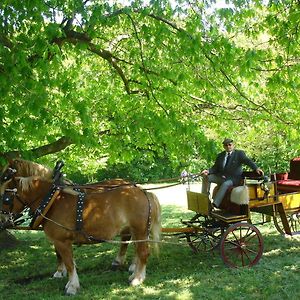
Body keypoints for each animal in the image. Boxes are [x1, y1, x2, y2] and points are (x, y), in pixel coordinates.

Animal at [0, 175, 162, 294]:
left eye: (5, 198)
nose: (2, 220)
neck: (53, 202)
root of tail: (144, 192)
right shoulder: (60, 242)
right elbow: (68, 262)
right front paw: (67, 281)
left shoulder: (62, 241)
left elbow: (69, 264)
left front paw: (72, 286)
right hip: (137, 231)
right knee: (137, 250)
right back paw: (134, 274)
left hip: (140, 230)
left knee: (143, 253)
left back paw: (138, 279)